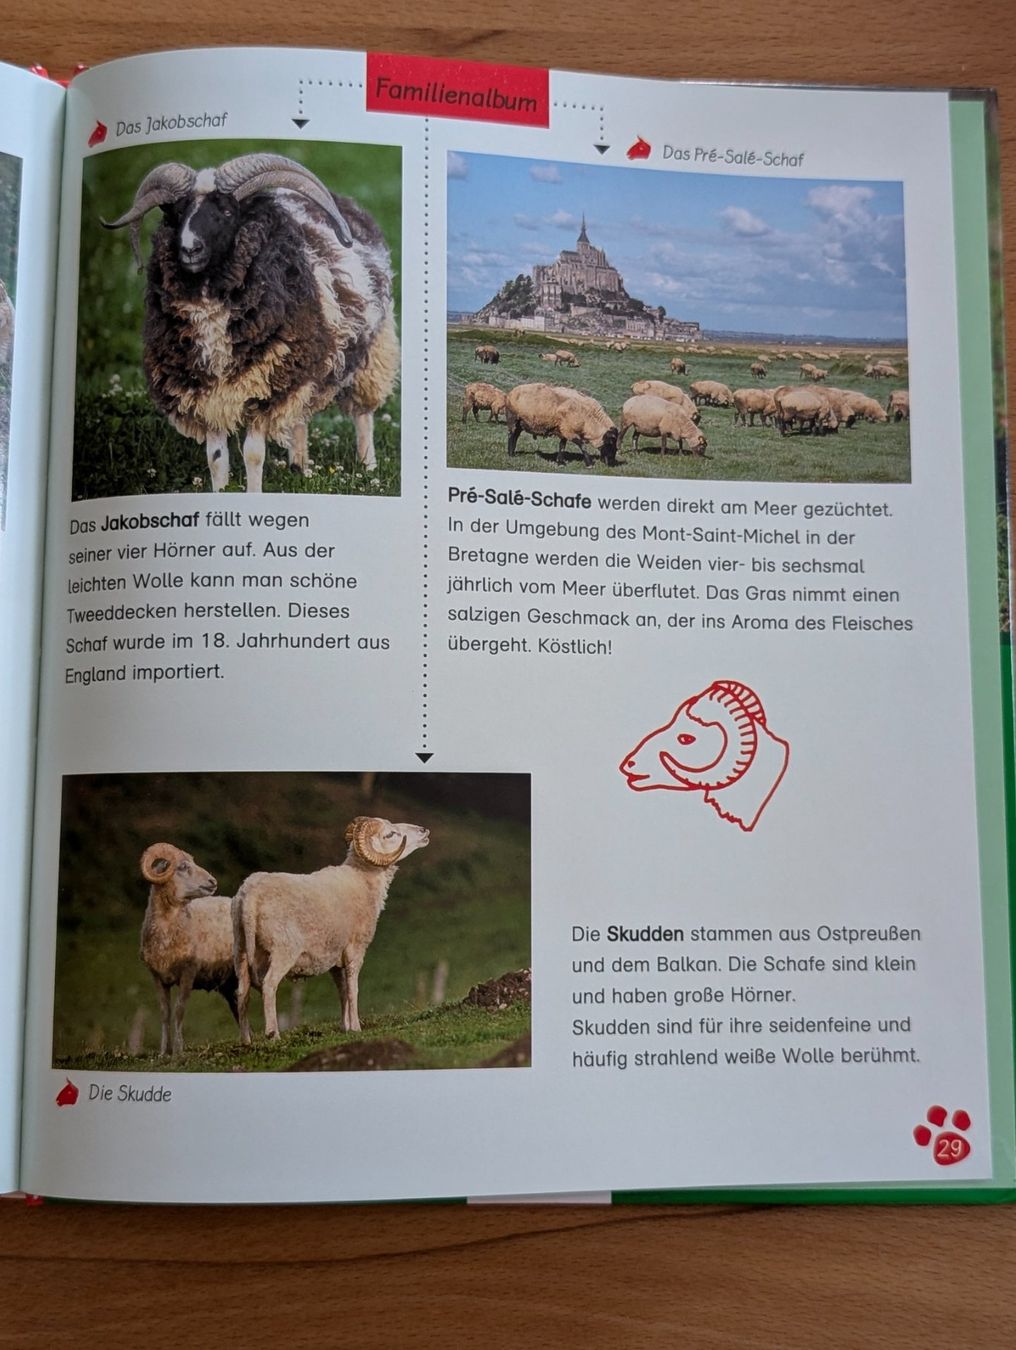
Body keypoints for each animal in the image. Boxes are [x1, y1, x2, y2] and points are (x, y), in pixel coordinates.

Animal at [103, 154, 399, 491]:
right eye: (177, 213)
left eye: (228, 212)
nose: (189, 249)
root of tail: (345, 203)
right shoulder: (206, 391)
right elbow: (216, 458)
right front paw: (220, 493)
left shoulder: (265, 383)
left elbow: (254, 454)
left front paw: (253, 493)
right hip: (307, 363)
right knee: (299, 417)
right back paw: (299, 466)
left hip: (372, 353)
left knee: (364, 414)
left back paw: (368, 467)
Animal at [139, 842, 238, 1056]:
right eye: (183, 867)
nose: (212, 881)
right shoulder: (157, 977)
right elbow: (164, 1012)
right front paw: (163, 1052)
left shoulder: (188, 972)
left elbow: (179, 1010)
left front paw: (178, 1050)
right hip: (228, 982)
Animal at [233, 816, 429, 1041]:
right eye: (390, 834)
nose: (424, 831)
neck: (363, 879)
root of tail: (250, 895)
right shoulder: (355, 949)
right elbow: (353, 988)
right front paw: (356, 1027)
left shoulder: (336, 957)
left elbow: (342, 990)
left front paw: (345, 1026)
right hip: (283, 950)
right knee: (269, 985)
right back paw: (273, 1035)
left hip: (240, 949)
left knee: (241, 992)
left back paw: (246, 1040)